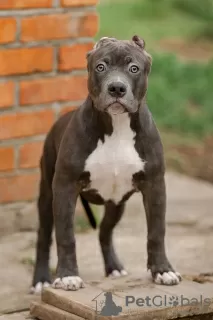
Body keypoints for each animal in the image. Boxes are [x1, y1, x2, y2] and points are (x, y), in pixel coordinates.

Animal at [30, 34, 181, 292]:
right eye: (101, 67)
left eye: (134, 68)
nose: (117, 88)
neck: (116, 126)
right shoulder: (65, 187)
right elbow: (65, 235)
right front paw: (68, 276)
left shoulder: (155, 186)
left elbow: (156, 231)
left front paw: (162, 270)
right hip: (47, 195)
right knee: (44, 236)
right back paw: (40, 280)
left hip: (116, 202)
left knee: (105, 231)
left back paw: (114, 267)